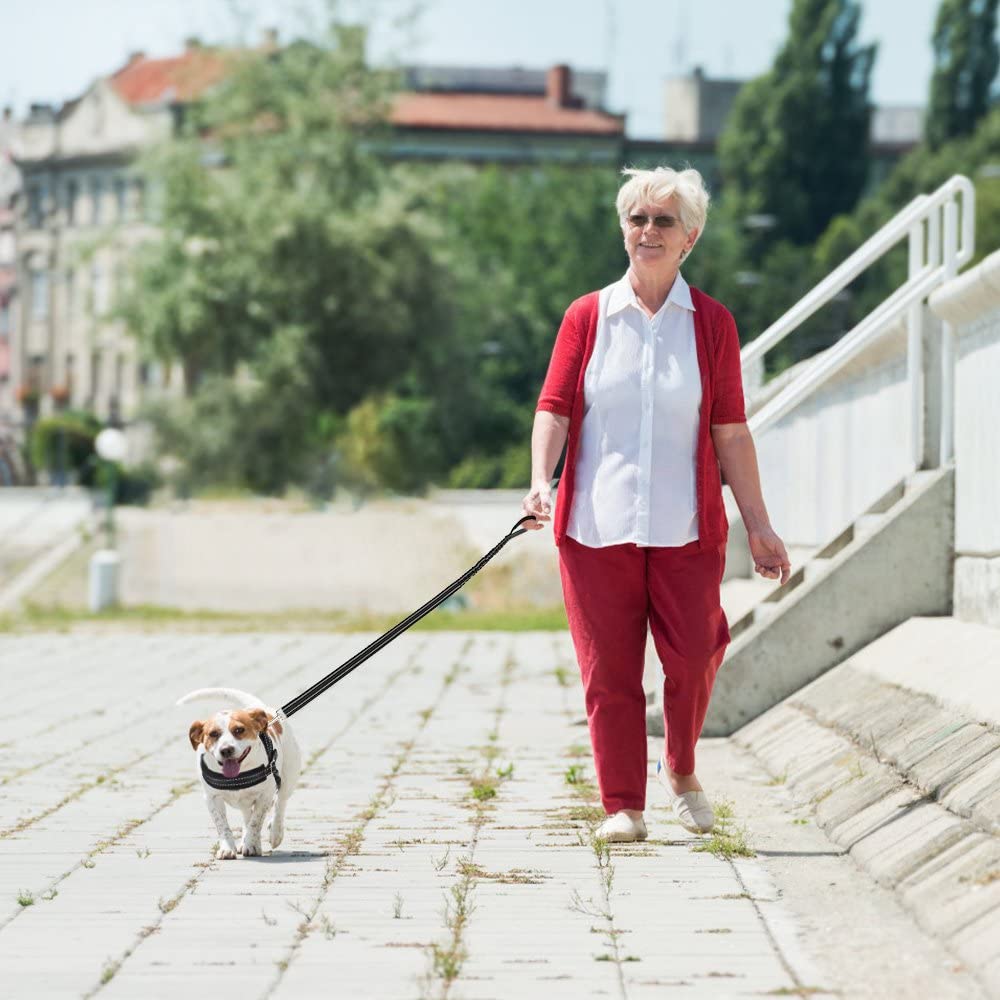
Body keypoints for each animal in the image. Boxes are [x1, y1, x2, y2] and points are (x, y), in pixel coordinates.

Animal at [178, 688, 300, 860]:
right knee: (247, 815)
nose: (226, 750)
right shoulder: (212, 798)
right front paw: (228, 848)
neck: (238, 775)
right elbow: (222, 825)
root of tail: (261, 708)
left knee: (280, 804)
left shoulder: (264, 796)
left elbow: (256, 822)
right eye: (213, 734)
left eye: (239, 730)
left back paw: (275, 833)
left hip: (289, 776)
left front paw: (251, 845)